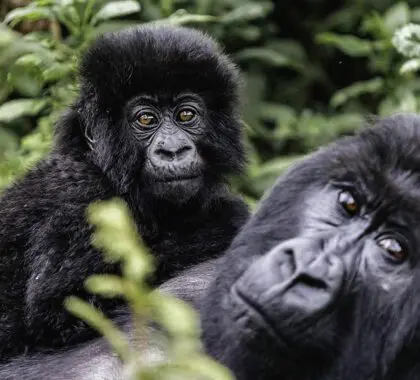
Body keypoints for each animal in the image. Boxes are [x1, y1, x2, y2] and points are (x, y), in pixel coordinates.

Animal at [0, 26, 249, 360]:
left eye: (186, 115)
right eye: (145, 119)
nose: (173, 150)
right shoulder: (81, 205)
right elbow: (62, 310)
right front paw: (227, 219)